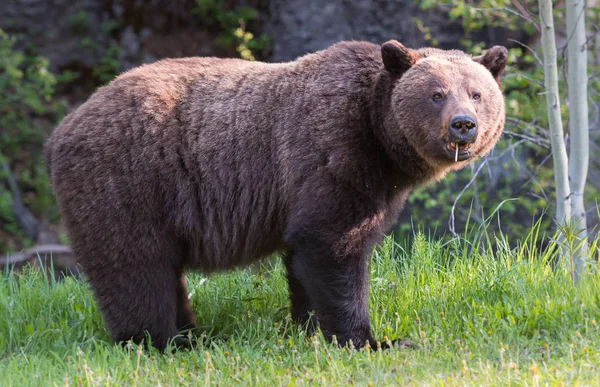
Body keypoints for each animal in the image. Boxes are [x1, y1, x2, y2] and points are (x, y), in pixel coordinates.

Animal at [44, 40, 508, 352]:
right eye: (436, 94)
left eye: (477, 93)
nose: (463, 125)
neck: (381, 142)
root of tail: (62, 129)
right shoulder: (331, 151)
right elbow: (332, 246)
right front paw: (369, 339)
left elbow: (305, 260)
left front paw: (308, 327)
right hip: (129, 180)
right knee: (135, 265)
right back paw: (162, 341)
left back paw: (190, 333)